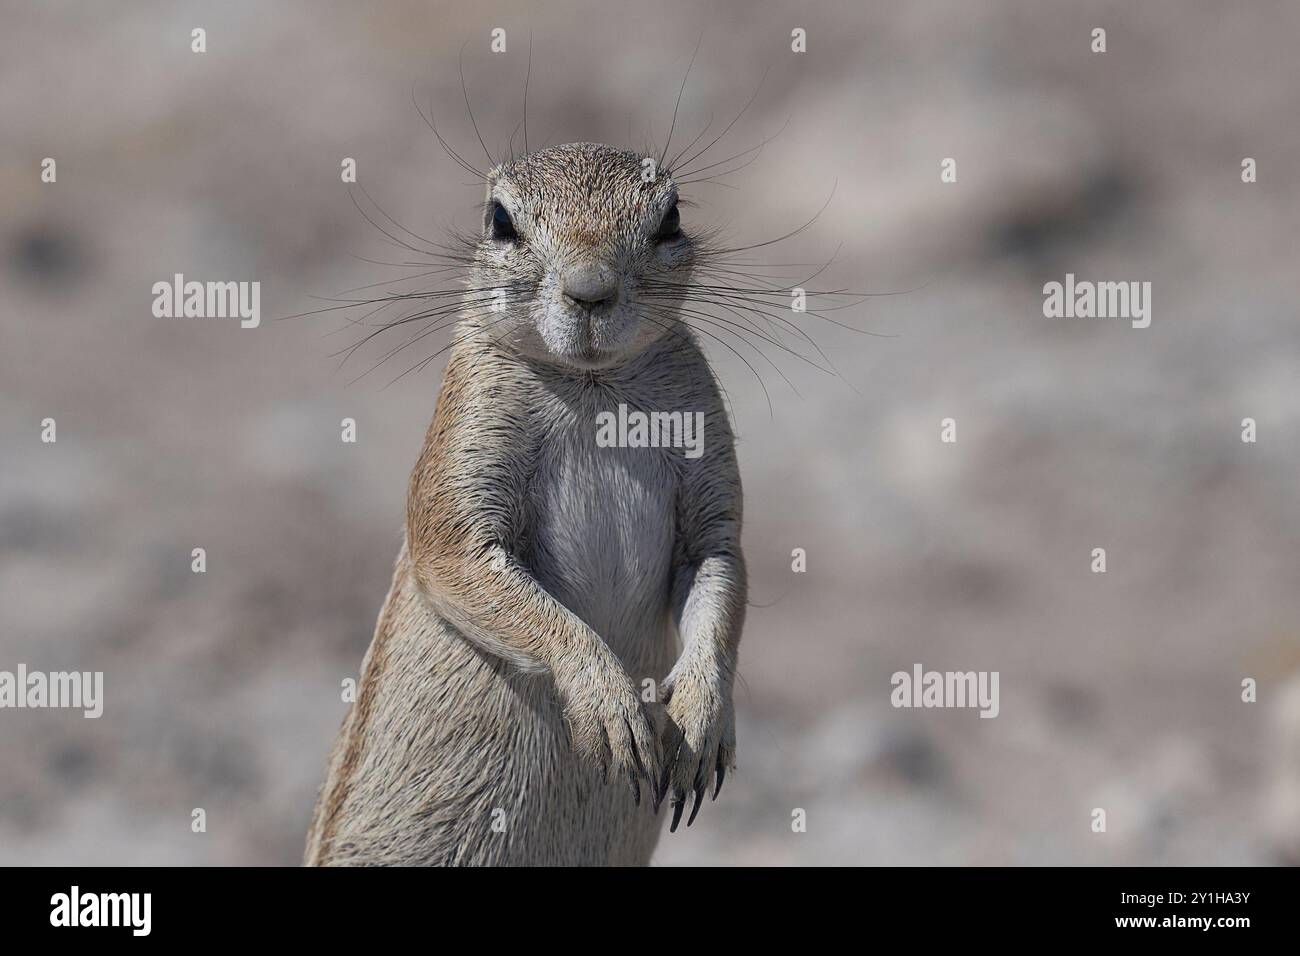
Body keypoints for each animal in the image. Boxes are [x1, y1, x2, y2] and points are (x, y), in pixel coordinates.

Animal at [304, 141, 748, 868]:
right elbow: (470, 568)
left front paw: (700, 717)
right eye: (500, 222)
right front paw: (608, 702)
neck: (593, 387)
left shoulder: (707, 477)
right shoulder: (461, 458)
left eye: (672, 218)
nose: (591, 291)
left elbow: (720, 570)